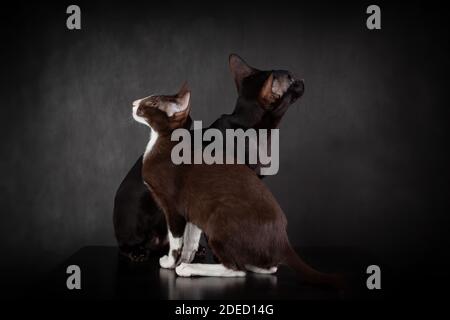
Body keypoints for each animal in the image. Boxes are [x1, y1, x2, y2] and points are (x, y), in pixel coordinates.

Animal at [134, 84, 344, 288]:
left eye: (151, 102)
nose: (134, 102)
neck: (160, 143)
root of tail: (283, 241)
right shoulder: (193, 209)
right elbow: (190, 240)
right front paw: (185, 258)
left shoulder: (173, 207)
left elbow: (176, 240)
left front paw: (171, 263)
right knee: (268, 267)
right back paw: (253, 265)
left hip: (219, 221)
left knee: (237, 269)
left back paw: (189, 269)